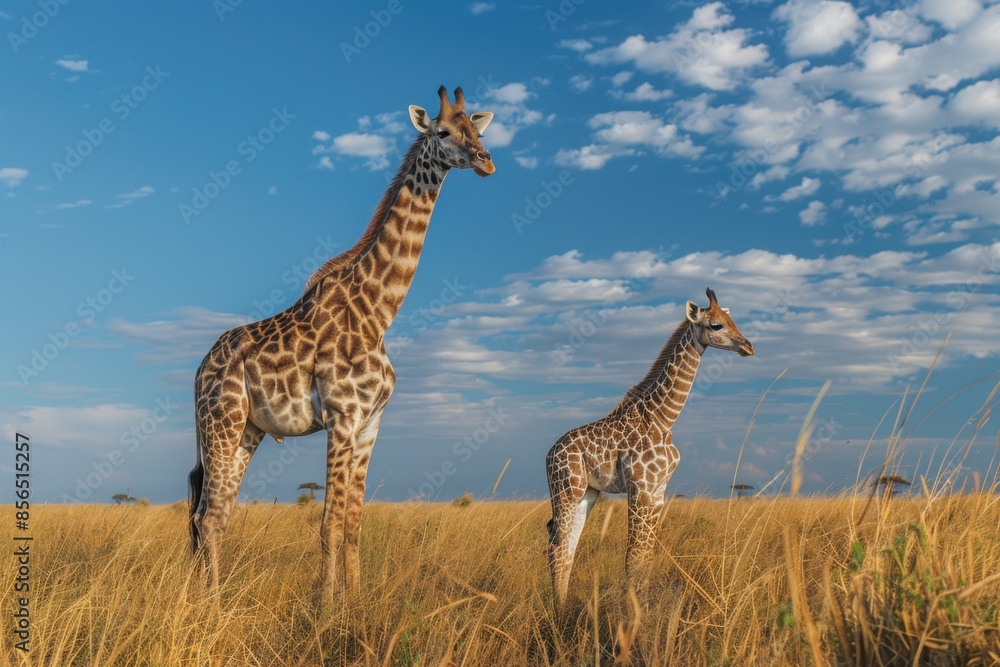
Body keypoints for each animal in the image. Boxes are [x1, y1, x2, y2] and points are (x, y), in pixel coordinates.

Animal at [188, 86, 495, 604]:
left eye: (478, 130)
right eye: (441, 132)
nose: (485, 161)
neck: (379, 310)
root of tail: (199, 370)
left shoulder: (371, 423)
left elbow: (353, 522)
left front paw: (356, 599)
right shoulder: (341, 417)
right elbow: (328, 522)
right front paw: (328, 606)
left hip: (247, 429)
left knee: (215, 510)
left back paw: (208, 594)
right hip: (221, 421)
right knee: (207, 515)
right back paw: (210, 603)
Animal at [545, 288, 754, 606]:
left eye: (733, 319)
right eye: (716, 324)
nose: (748, 346)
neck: (662, 417)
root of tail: (549, 454)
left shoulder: (657, 491)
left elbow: (646, 558)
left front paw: (640, 609)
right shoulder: (640, 489)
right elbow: (633, 558)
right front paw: (630, 616)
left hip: (587, 493)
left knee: (567, 547)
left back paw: (564, 607)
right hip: (566, 489)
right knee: (557, 546)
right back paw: (557, 612)